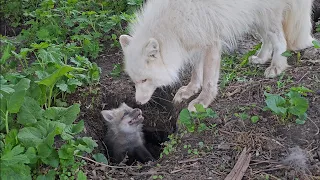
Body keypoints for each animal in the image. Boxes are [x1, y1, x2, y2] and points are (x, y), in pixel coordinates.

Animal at [119, 0, 314, 111]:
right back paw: (261, 58)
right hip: (255, 18)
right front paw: (190, 90)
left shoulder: (211, 43)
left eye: (145, 80)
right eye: (135, 81)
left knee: (281, 41)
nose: (138, 103)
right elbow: (196, 73)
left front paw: (203, 101)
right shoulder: (196, 43)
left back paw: (277, 67)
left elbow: (208, 80)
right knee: (267, 39)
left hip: (267, 18)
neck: (172, 26)